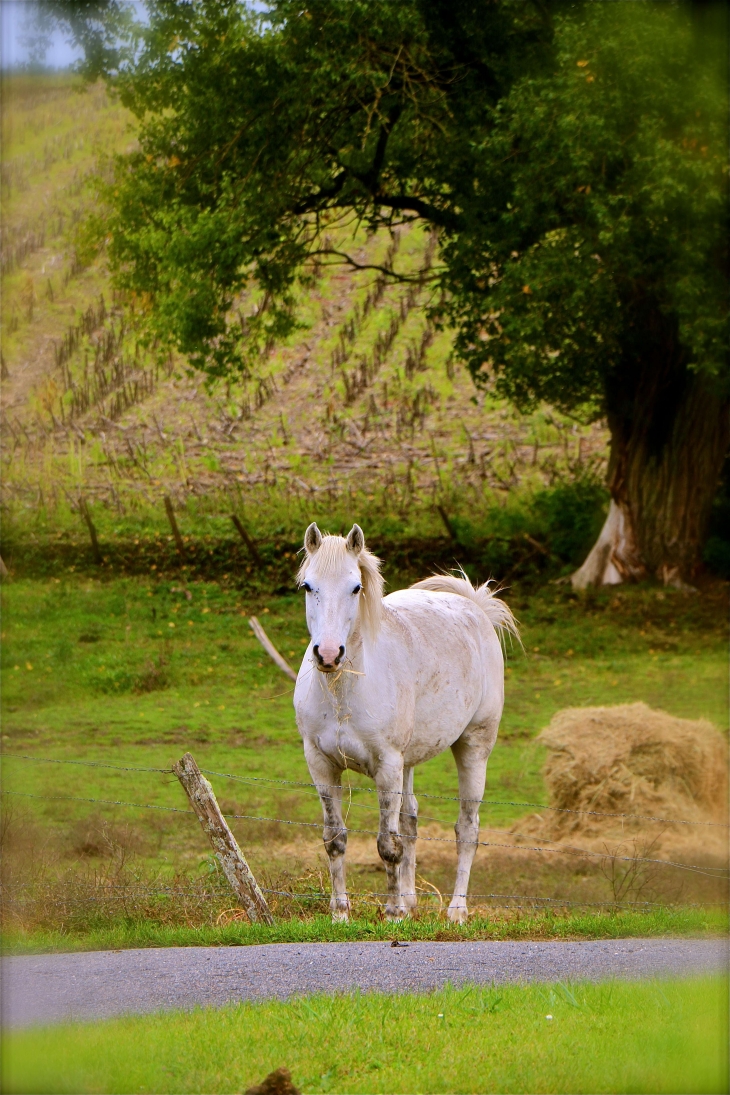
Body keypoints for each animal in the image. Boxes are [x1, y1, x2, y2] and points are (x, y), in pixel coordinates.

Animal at [293, 521, 518, 924]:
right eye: (308, 586)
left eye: (356, 587)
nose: (329, 654)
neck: (343, 690)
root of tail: (475, 606)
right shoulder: (321, 765)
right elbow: (335, 840)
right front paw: (340, 914)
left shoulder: (387, 765)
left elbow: (388, 844)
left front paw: (394, 912)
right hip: (409, 763)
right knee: (411, 820)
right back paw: (413, 900)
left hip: (473, 748)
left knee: (467, 829)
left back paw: (456, 910)